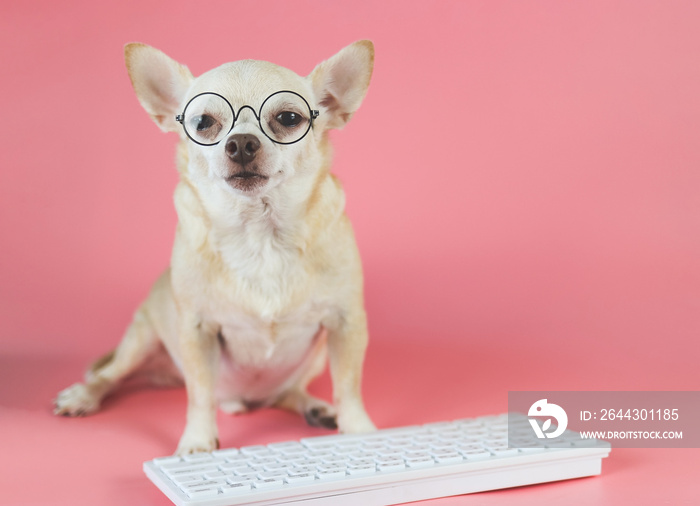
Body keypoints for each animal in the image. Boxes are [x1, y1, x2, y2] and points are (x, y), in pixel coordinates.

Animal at [54, 41, 378, 456]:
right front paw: (197, 443)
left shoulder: (346, 323)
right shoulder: (197, 331)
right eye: (203, 123)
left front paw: (360, 432)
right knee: (113, 375)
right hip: (141, 337)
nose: (240, 143)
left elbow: (349, 387)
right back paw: (83, 395)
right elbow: (200, 395)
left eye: (288, 118)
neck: (259, 233)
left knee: (286, 392)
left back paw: (314, 408)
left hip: (317, 357)